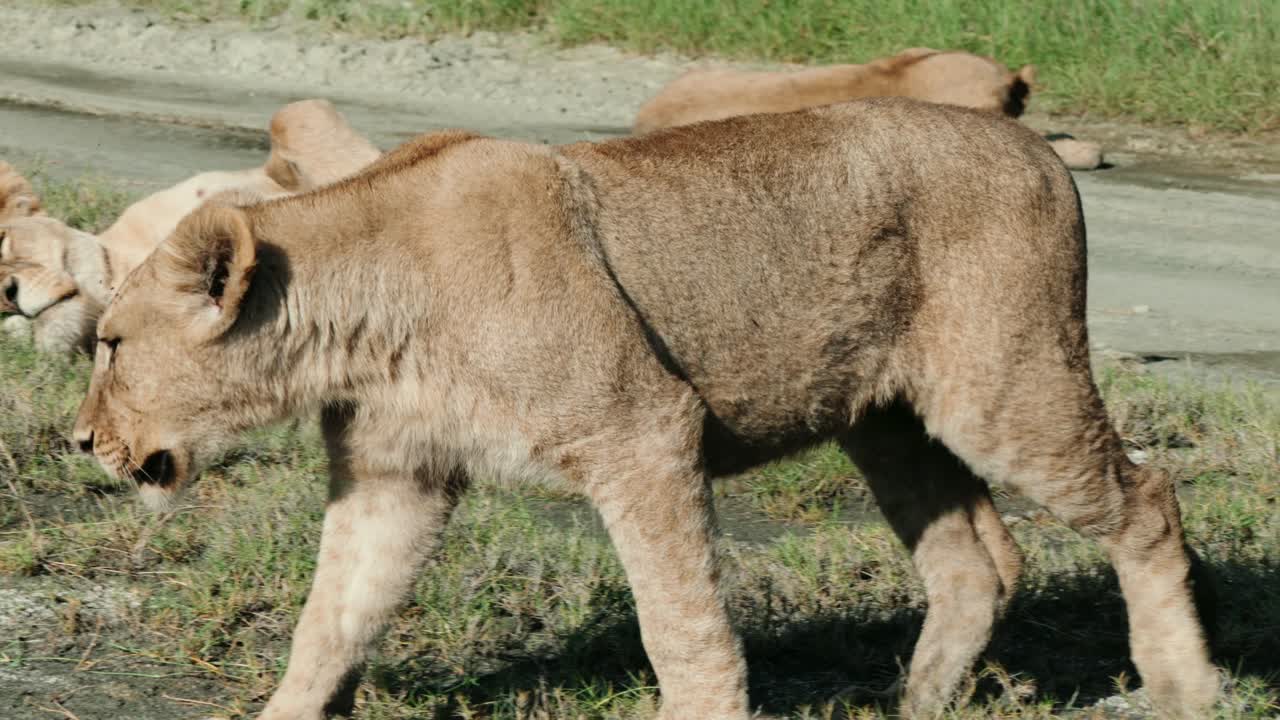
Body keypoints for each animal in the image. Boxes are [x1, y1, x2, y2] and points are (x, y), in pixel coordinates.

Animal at [73, 100, 1216, 719]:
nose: (81, 439)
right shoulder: (395, 477)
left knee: (1147, 503)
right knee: (978, 558)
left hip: (1008, 382)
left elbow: (682, 623)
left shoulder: (644, 435)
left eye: (113, 343)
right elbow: (329, 623)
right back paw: (919, 699)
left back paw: (1185, 688)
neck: (366, 313)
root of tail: (1039, 149)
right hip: (885, 419)